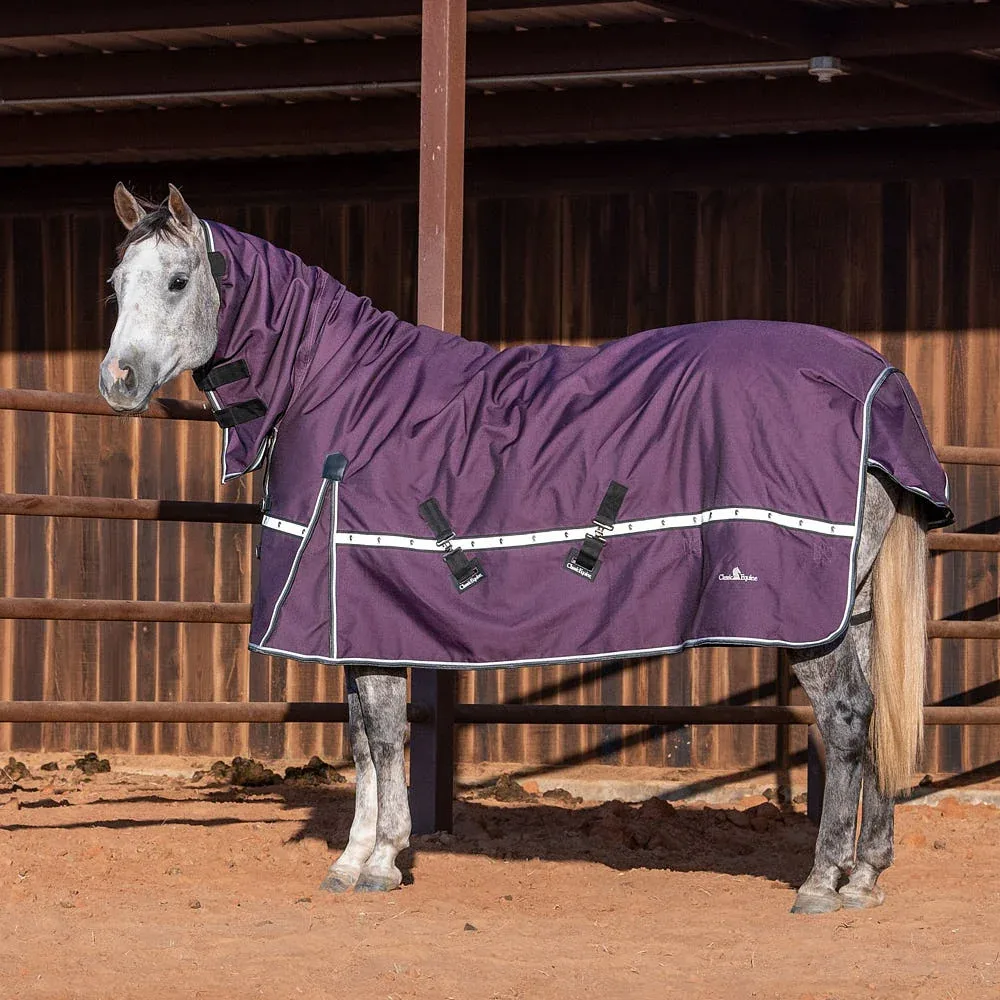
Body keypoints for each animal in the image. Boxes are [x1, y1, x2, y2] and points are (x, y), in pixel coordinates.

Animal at [100, 183, 952, 914]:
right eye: (114, 283)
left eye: (177, 281)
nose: (116, 381)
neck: (341, 393)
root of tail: (880, 380)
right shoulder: (354, 618)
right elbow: (365, 739)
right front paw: (356, 862)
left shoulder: (364, 609)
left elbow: (381, 735)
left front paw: (377, 863)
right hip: (857, 605)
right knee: (875, 715)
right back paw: (866, 875)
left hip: (810, 617)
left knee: (846, 718)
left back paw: (821, 883)